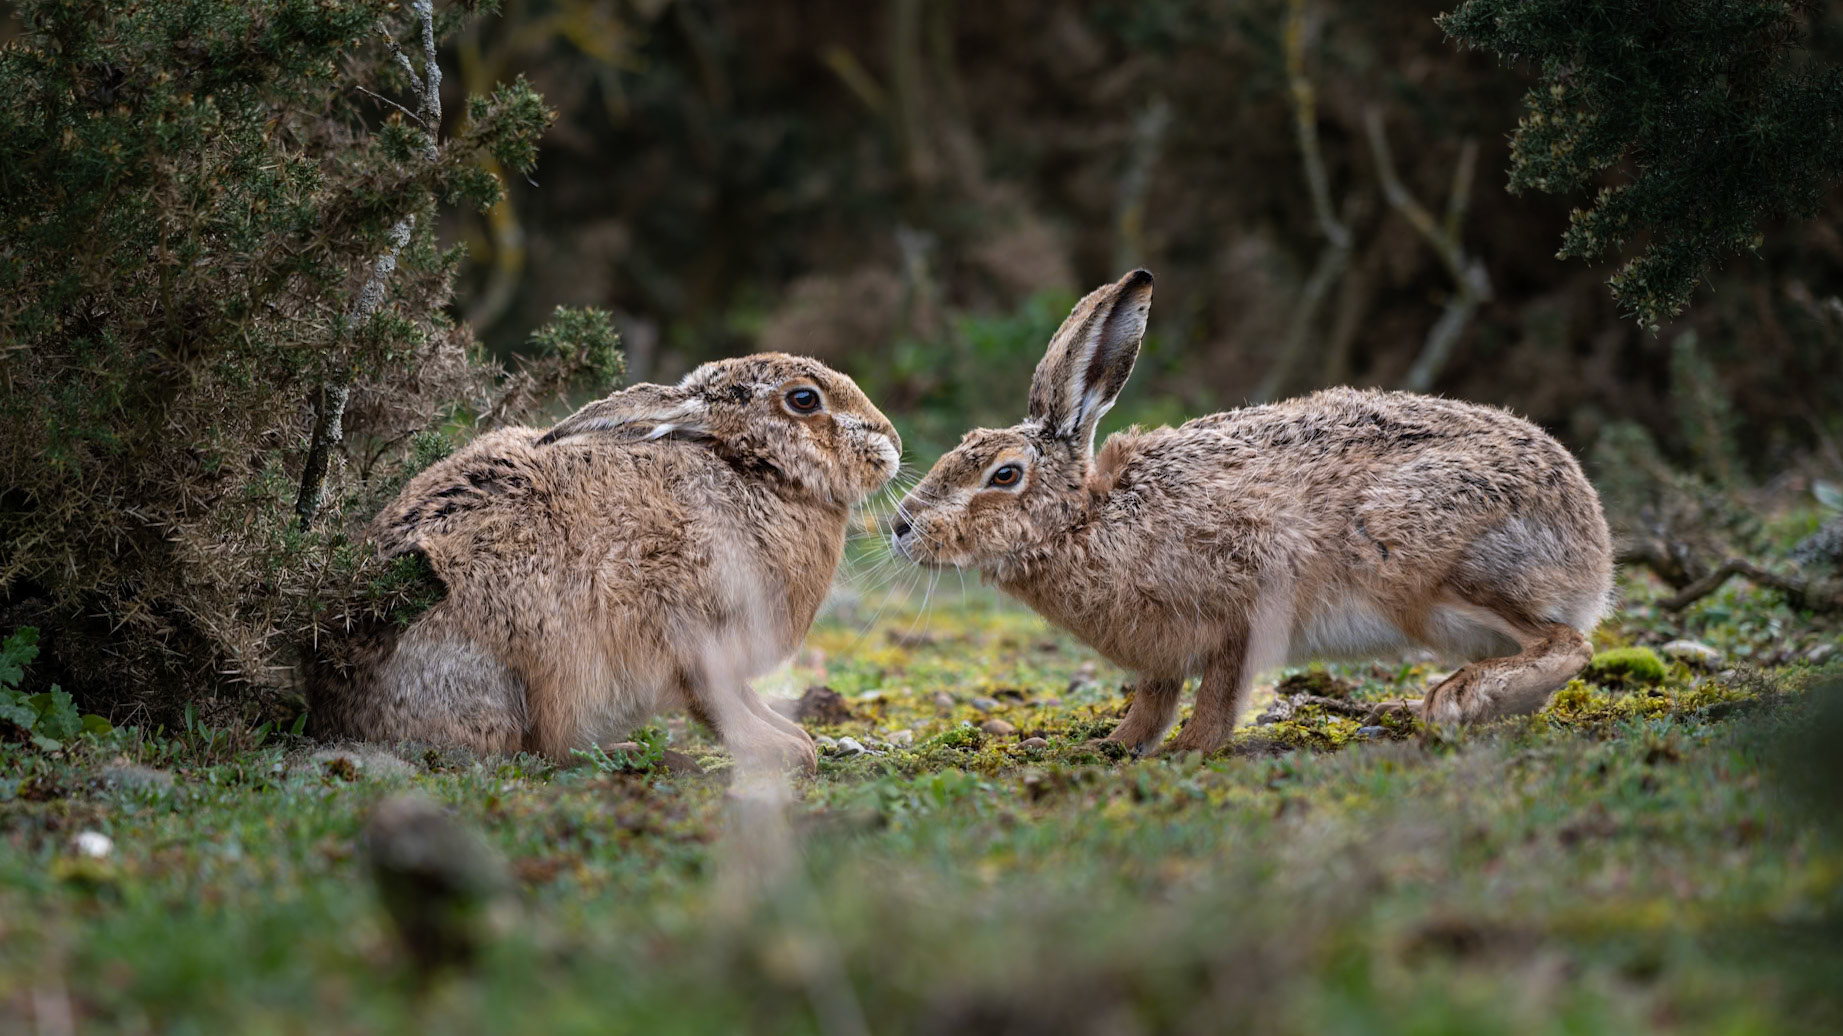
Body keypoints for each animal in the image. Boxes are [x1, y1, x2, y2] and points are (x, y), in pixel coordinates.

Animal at [310, 353, 901, 774]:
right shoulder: (694, 632)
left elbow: (743, 696)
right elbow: (718, 704)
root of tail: (340, 704)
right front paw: (785, 751)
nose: (893, 444)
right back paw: (641, 757)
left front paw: (794, 735)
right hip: (524, 664)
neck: (750, 472)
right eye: (804, 399)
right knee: (540, 749)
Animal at [890, 270, 1613, 757]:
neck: (1087, 518)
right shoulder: (1159, 656)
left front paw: (1188, 751)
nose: (900, 526)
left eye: (1004, 474)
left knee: (1566, 643)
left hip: (1424, 564)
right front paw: (1115, 747)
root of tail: (1592, 548)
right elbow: (1152, 701)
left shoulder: (1239, 611)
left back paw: (1456, 699)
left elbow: (1217, 694)